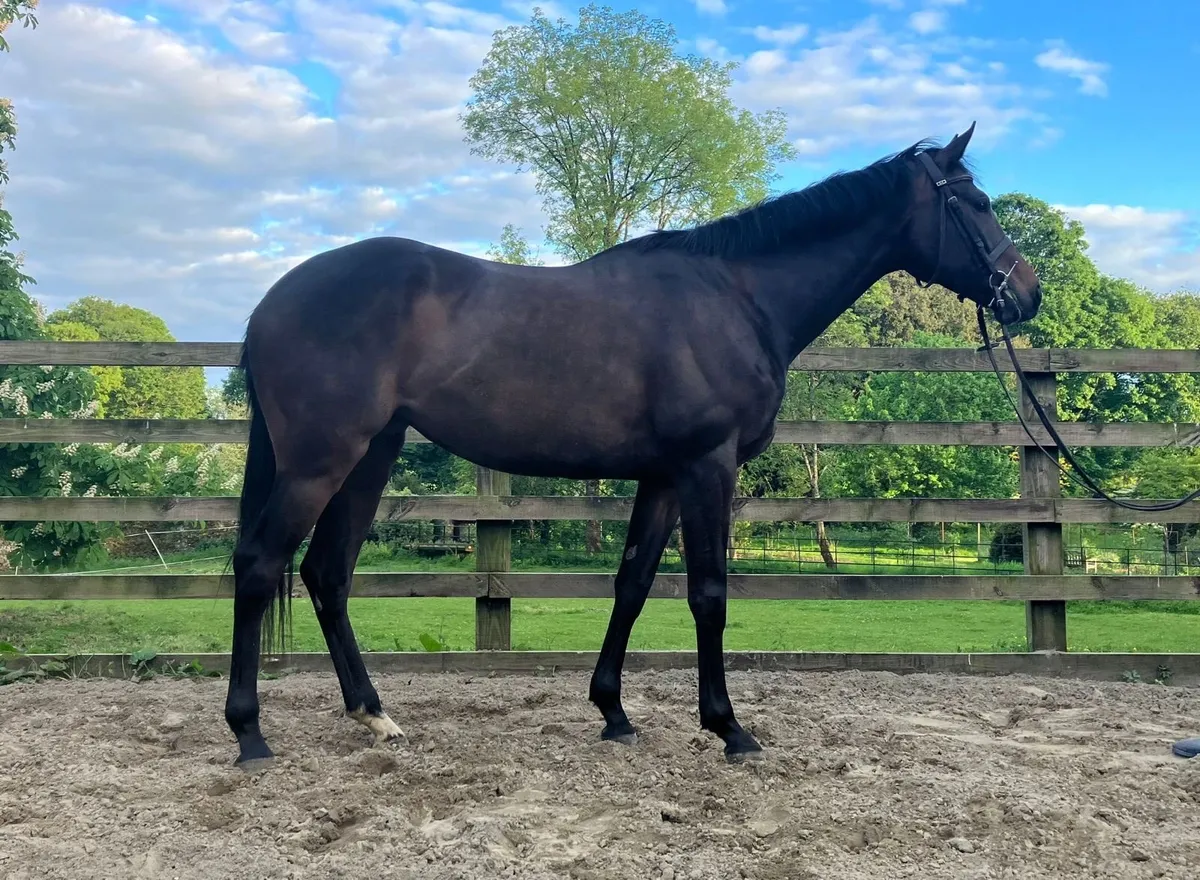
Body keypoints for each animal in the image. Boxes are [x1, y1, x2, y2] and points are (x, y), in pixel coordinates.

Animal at [222, 122, 1043, 766]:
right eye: (975, 204)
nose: (1027, 293)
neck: (736, 298)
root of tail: (269, 303)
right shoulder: (707, 467)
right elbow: (708, 593)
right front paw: (728, 728)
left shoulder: (663, 476)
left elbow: (634, 583)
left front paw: (613, 712)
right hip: (321, 462)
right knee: (260, 565)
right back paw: (250, 734)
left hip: (372, 456)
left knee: (327, 574)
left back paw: (374, 714)